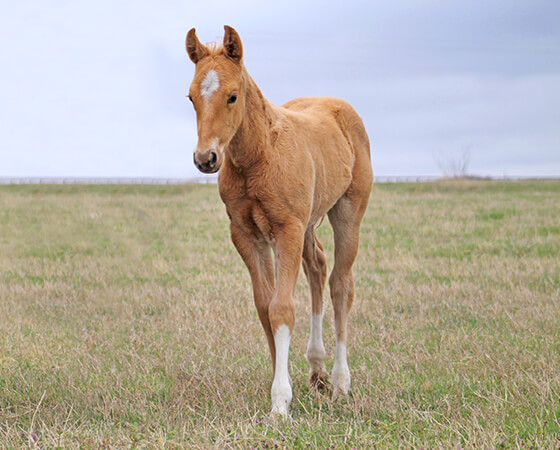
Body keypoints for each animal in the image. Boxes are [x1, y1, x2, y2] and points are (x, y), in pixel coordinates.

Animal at [186, 25, 374, 418]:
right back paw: (317, 369)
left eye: (232, 96)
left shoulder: (287, 229)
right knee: (318, 267)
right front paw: (283, 382)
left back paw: (340, 382)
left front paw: (280, 402)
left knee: (340, 284)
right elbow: (264, 306)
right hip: (308, 223)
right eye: (191, 97)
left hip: (347, 211)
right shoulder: (246, 234)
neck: (258, 157)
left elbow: (282, 307)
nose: (206, 158)